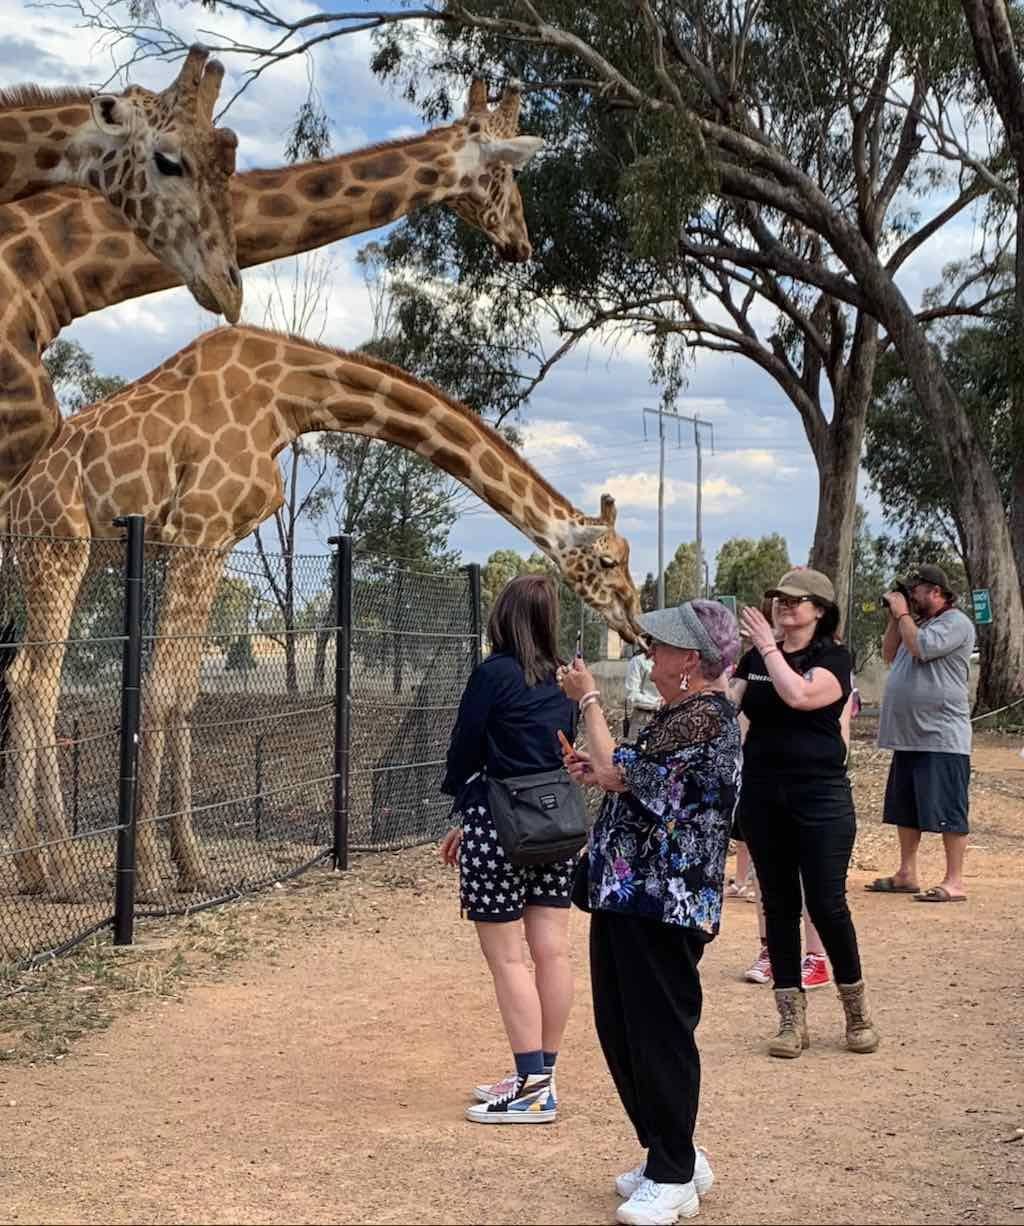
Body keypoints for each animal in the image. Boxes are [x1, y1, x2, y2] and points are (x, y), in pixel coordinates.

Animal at [4, 326, 642, 902]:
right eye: (608, 560)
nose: (634, 624)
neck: (289, 398)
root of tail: (16, 498)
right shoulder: (197, 526)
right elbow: (161, 691)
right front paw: (152, 878)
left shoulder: (215, 538)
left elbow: (182, 693)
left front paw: (192, 869)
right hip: (61, 545)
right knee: (38, 680)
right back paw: (62, 871)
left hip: (72, 554)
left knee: (22, 675)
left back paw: (34, 869)